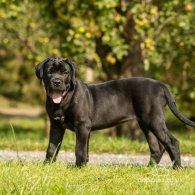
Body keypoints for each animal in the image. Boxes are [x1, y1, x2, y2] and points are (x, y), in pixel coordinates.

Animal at [35, 57, 195, 167]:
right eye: (49, 72)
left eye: (65, 72)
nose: (57, 82)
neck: (64, 100)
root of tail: (161, 85)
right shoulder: (57, 126)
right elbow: (52, 147)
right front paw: (47, 166)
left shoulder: (82, 125)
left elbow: (79, 148)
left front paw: (78, 167)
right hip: (145, 123)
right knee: (157, 147)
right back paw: (149, 168)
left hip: (154, 119)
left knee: (172, 142)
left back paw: (177, 168)